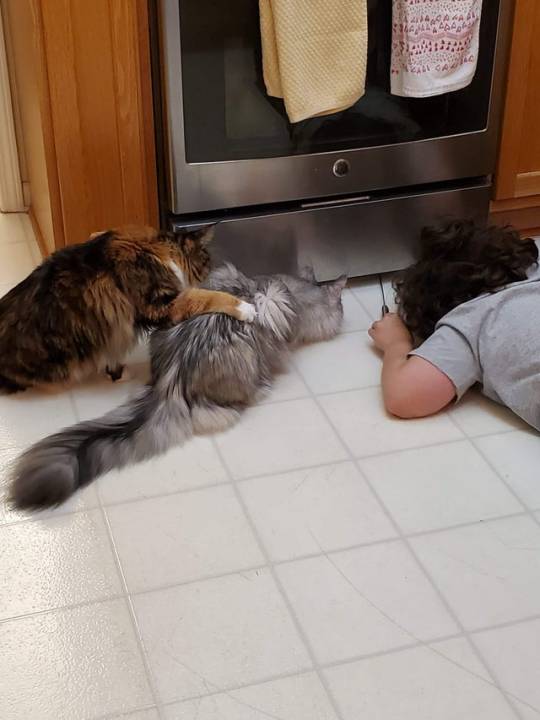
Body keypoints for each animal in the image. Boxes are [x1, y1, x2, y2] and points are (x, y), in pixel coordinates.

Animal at [0, 225, 254, 394]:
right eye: (206, 260)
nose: (213, 268)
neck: (158, 251)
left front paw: (115, 372)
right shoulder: (160, 304)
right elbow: (206, 296)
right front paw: (246, 307)